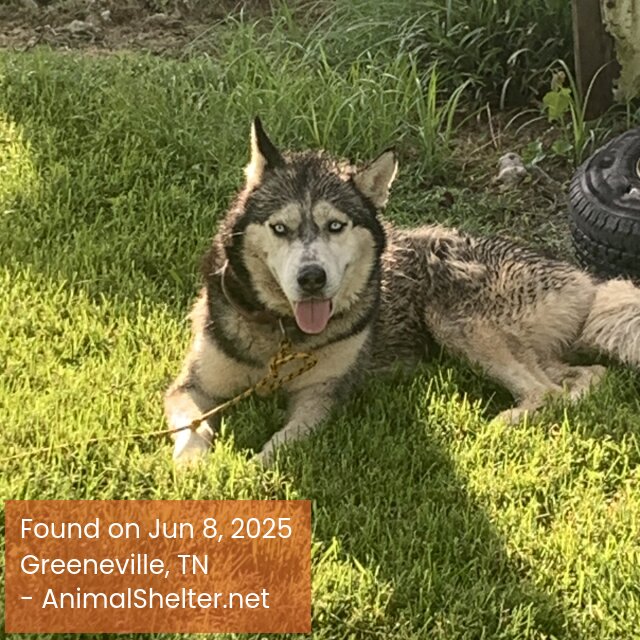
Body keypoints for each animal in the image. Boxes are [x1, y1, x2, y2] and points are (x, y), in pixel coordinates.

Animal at [165, 118, 640, 465]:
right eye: (280, 228)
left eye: (335, 226)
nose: (312, 278)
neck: (282, 336)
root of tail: (587, 279)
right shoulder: (188, 387)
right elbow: (192, 426)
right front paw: (195, 467)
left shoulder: (319, 397)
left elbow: (284, 443)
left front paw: (253, 469)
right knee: (585, 376)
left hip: (454, 318)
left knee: (544, 391)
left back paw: (499, 424)